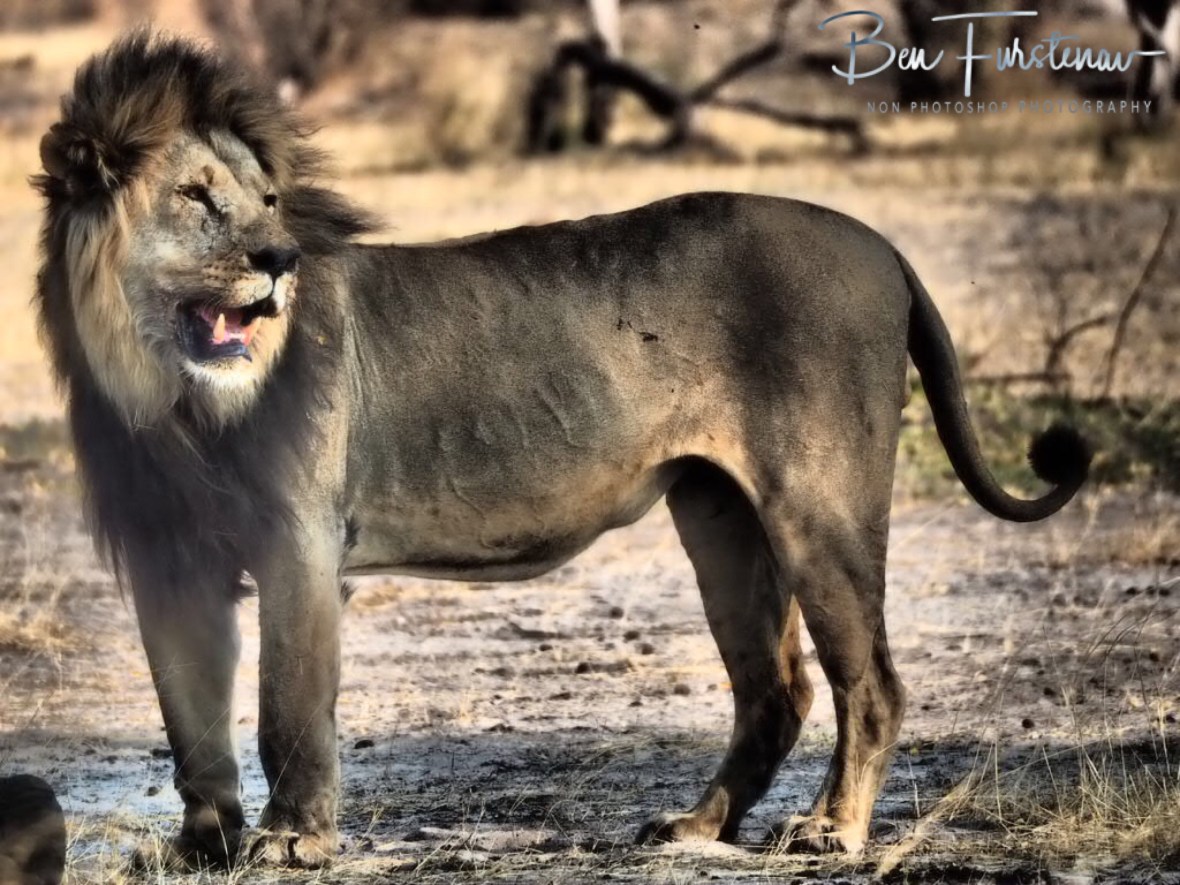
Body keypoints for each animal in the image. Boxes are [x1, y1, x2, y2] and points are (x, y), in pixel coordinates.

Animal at [34, 33, 1090, 869]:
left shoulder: (300, 541)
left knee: (870, 681)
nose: (279, 260)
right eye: (195, 196)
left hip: (817, 505)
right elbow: (191, 720)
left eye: (269, 201)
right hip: (721, 515)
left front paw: (293, 840)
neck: (165, 393)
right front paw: (200, 845)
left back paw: (832, 829)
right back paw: (695, 826)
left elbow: (287, 705)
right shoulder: (169, 564)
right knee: (775, 689)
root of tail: (884, 244)